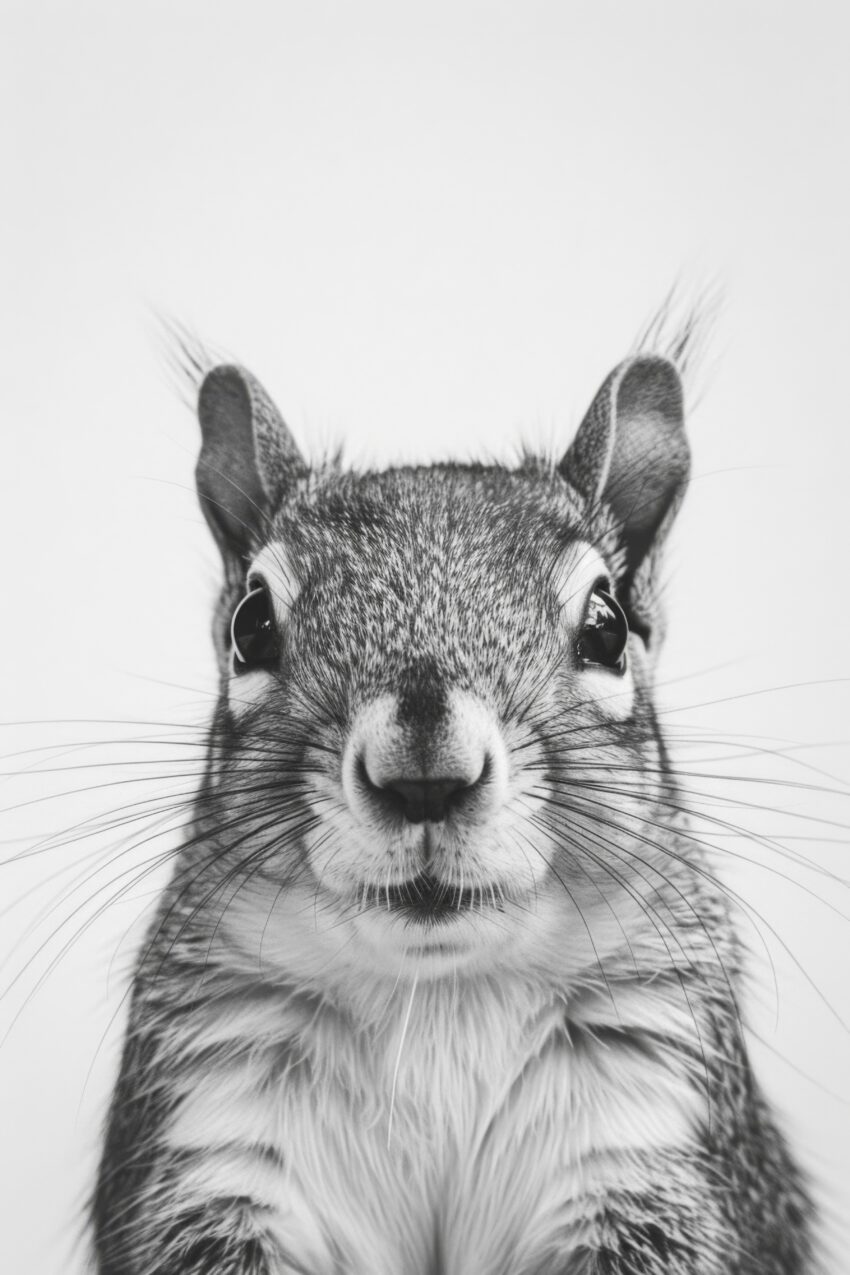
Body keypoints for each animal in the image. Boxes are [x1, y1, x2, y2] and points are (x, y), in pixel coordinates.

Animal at [92, 336, 818, 1274]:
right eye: (250, 623)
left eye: (608, 625)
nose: (425, 776)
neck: (438, 1000)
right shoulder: (214, 1139)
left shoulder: (649, 1136)